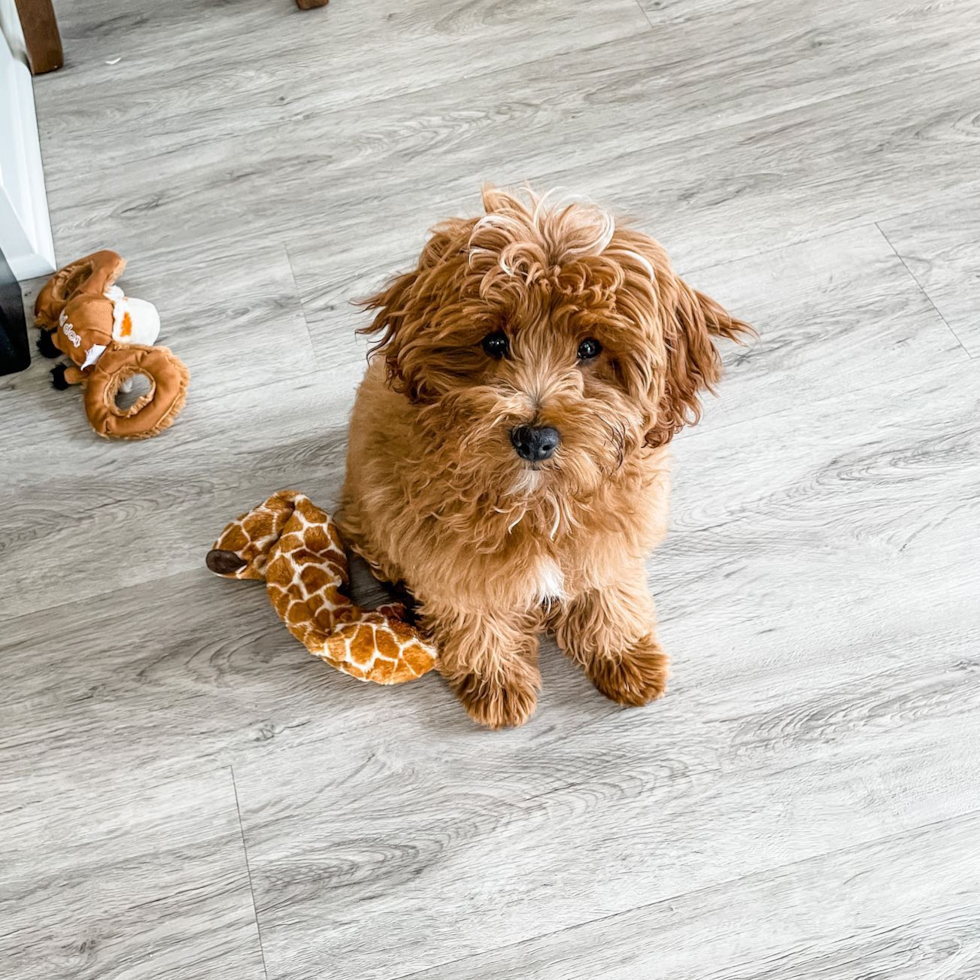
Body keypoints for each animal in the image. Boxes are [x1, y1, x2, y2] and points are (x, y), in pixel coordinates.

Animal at [336, 189, 752, 728]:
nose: (535, 438)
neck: (539, 500)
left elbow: (610, 593)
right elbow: (476, 618)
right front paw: (495, 682)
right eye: (494, 341)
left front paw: (625, 656)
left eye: (590, 348)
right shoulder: (448, 561)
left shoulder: (611, 542)